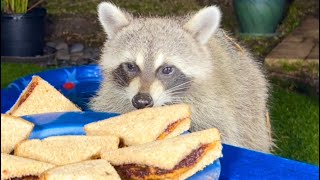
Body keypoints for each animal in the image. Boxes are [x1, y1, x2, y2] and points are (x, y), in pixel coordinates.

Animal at [89, 2, 274, 153]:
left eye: (167, 69)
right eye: (131, 66)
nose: (141, 101)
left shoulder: (212, 106)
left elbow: (223, 131)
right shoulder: (114, 98)